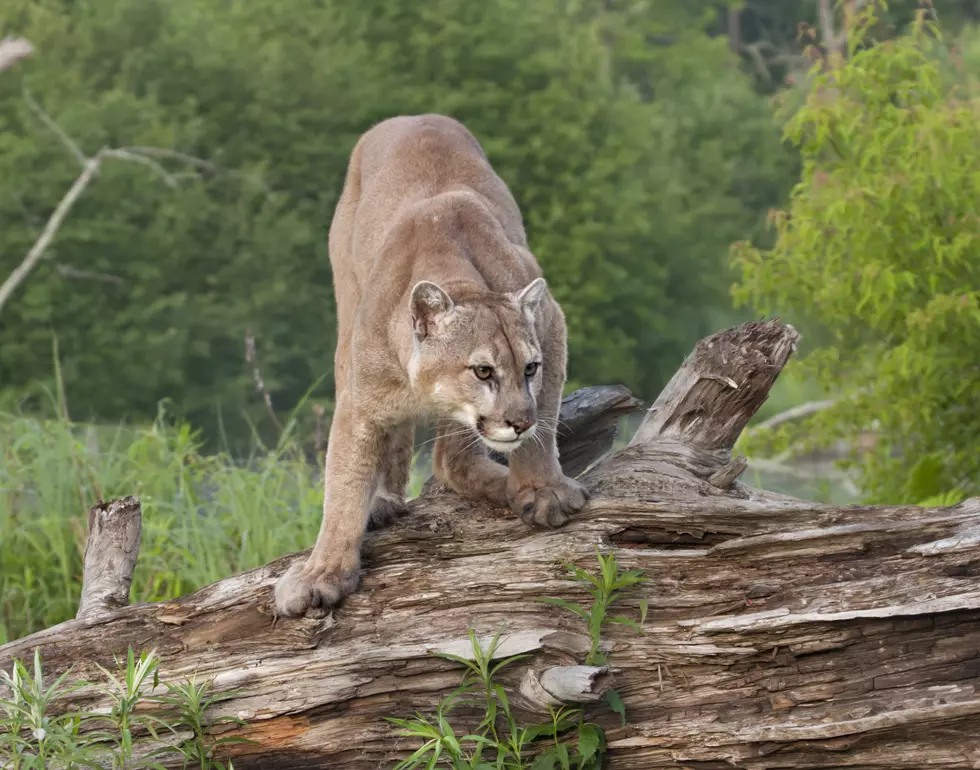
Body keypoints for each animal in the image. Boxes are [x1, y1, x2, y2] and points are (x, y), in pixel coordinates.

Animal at [272, 114, 584, 616]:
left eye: (530, 369)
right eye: (483, 371)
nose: (519, 421)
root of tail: (411, 116)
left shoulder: (552, 325)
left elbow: (545, 425)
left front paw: (540, 491)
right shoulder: (360, 402)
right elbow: (342, 484)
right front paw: (323, 572)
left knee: (449, 461)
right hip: (346, 315)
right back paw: (385, 500)